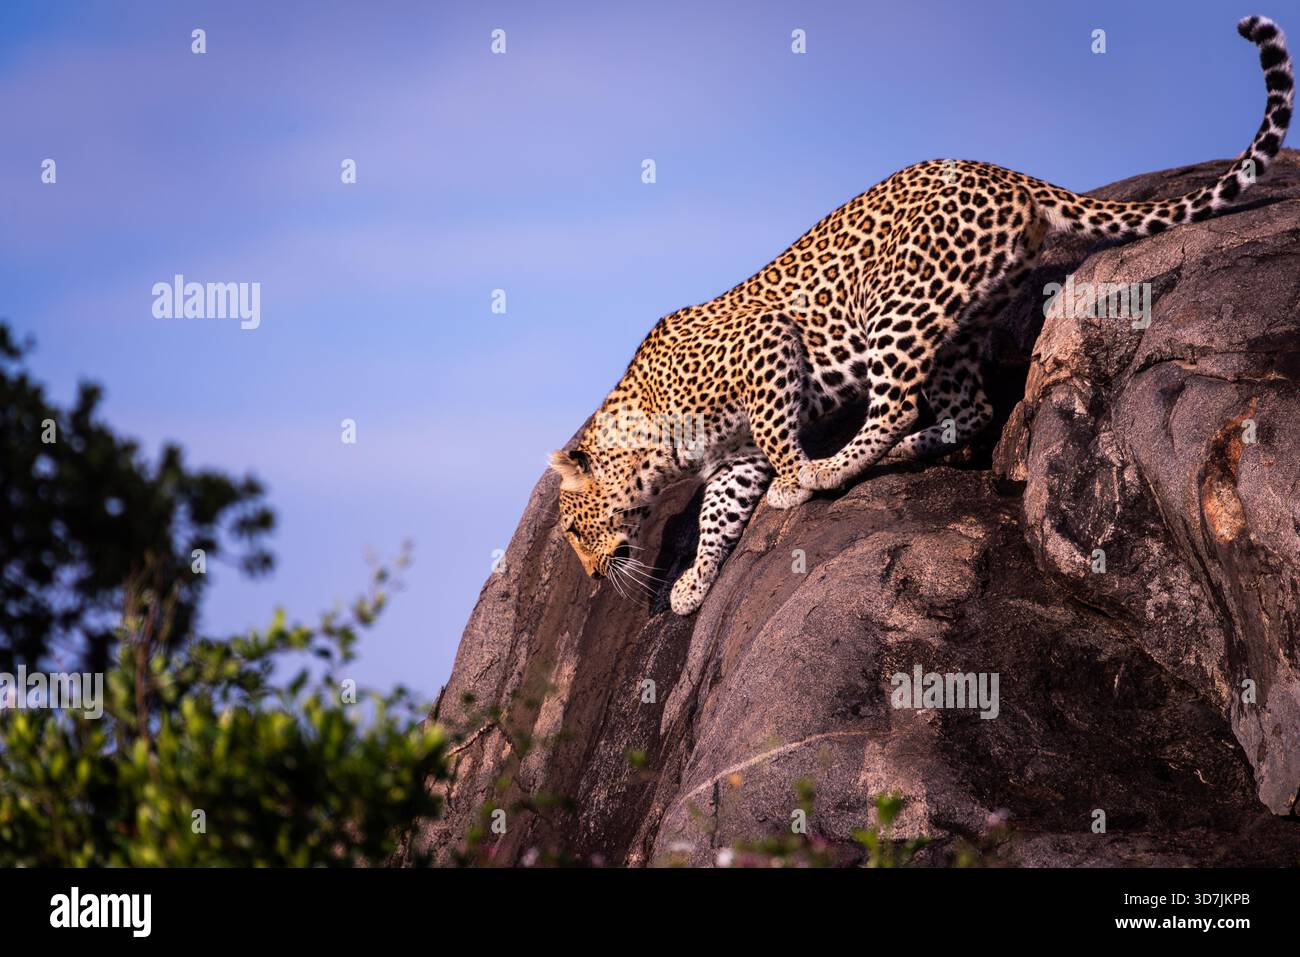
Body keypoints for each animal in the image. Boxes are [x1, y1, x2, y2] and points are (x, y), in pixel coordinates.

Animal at [548, 16, 1293, 616]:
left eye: (575, 529)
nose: (592, 577)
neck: (652, 438)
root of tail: (1007, 174)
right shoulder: (731, 458)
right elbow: (715, 515)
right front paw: (693, 585)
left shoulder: (766, 347)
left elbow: (777, 443)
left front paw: (793, 482)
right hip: (958, 322)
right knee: (967, 410)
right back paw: (890, 456)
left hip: (899, 303)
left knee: (898, 402)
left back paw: (836, 466)